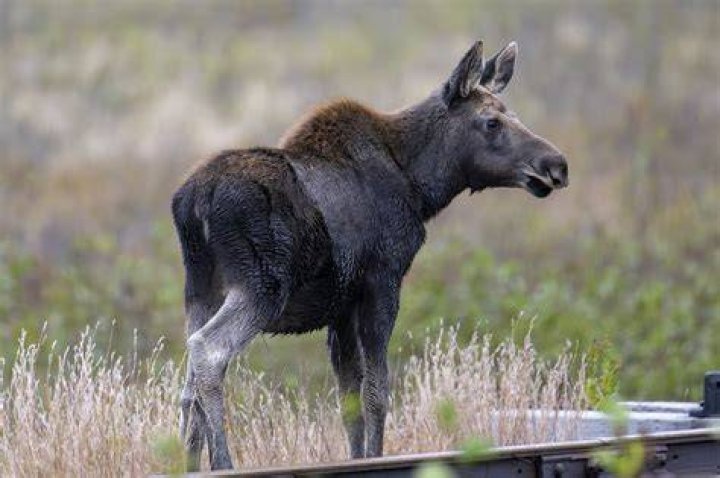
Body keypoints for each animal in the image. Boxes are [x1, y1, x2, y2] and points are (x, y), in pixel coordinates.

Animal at [171, 39, 568, 471]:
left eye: (513, 115)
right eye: (492, 122)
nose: (557, 164)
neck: (422, 187)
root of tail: (191, 202)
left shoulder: (341, 308)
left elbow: (349, 401)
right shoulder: (383, 282)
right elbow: (377, 393)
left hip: (200, 290)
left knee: (188, 383)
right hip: (261, 288)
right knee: (208, 351)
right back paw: (223, 463)